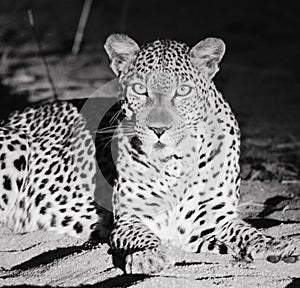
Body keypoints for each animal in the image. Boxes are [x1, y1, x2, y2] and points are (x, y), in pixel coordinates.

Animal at [103, 34, 298, 274]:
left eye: (183, 91)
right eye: (139, 89)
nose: (158, 129)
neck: (173, 163)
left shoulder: (216, 218)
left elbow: (247, 231)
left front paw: (273, 245)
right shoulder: (129, 217)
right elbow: (141, 235)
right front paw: (149, 255)